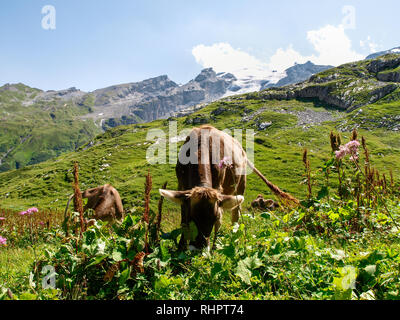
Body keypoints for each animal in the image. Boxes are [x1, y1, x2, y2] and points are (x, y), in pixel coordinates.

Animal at [159, 125, 296, 252]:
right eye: (190, 217)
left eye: (213, 218)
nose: (199, 248)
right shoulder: (181, 186)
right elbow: (182, 219)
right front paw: (181, 247)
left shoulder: (218, 188)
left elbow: (219, 222)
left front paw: (214, 247)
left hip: (240, 184)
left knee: (235, 214)